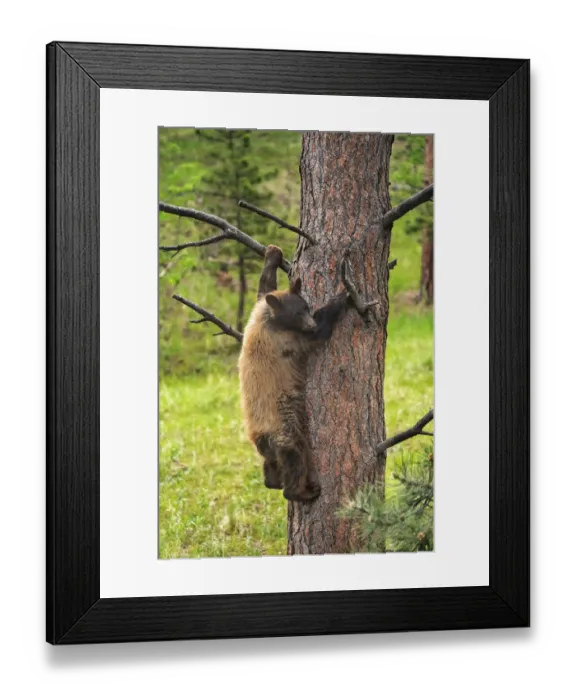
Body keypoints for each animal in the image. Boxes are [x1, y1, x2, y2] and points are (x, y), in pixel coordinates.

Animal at [238, 244, 349, 502]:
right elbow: (318, 335)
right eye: (298, 313)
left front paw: (272, 254)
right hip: (284, 428)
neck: (270, 320)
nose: (310, 322)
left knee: (270, 465)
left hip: (268, 445)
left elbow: (264, 286)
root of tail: (260, 437)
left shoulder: (259, 308)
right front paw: (341, 298)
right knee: (294, 456)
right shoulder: (287, 340)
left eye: (306, 307)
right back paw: (302, 491)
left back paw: (272, 480)